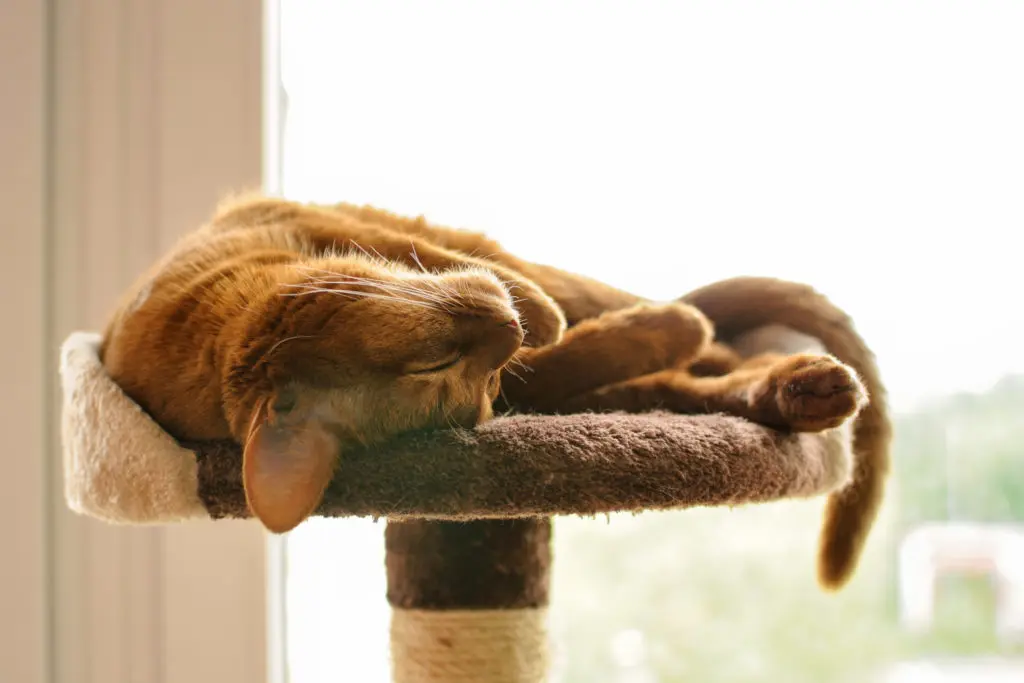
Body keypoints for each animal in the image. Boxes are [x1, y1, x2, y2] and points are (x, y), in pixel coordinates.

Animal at [103, 194, 888, 589]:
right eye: (451, 372)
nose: (506, 332)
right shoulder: (540, 375)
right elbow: (573, 348)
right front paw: (645, 327)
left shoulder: (329, 220)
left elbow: (490, 270)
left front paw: (541, 309)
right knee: (680, 379)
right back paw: (800, 388)